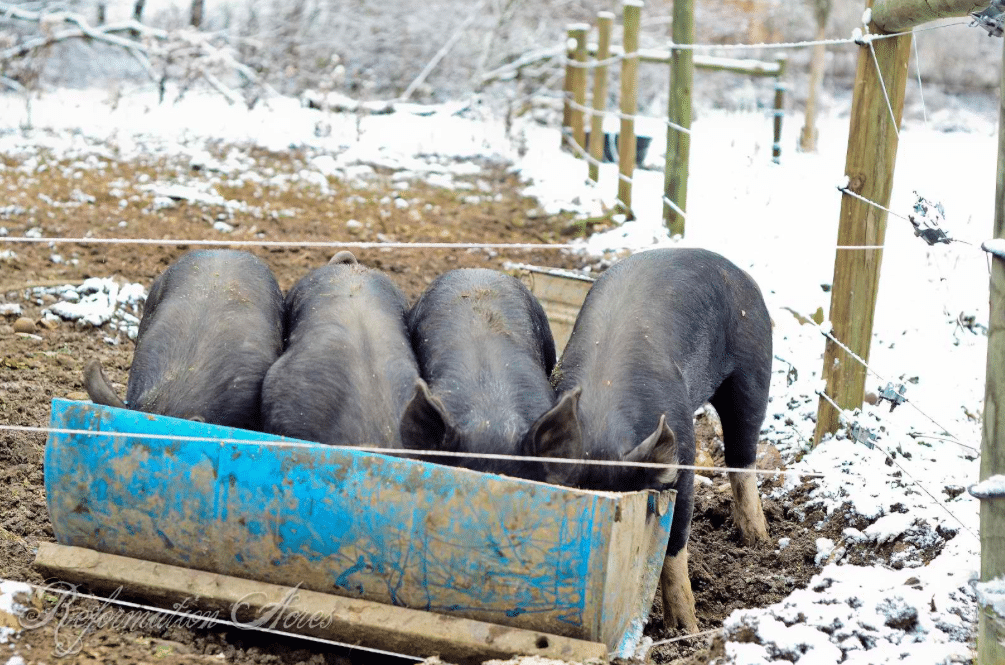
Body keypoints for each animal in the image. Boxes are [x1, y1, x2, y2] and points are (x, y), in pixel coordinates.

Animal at [526, 247, 772, 633]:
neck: (604, 428)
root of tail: (738, 272)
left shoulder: (681, 464)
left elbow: (673, 545)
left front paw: (686, 629)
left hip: (754, 368)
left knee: (742, 457)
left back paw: (757, 539)